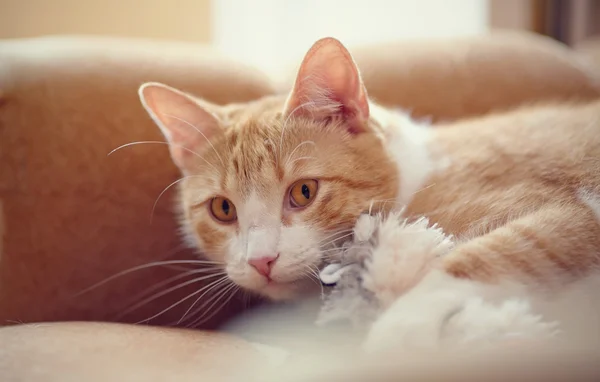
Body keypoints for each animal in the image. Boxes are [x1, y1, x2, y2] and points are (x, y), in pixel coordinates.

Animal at [138, 36, 600, 346]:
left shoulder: (570, 215)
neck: (416, 178)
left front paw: (401, 329)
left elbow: (485, 257)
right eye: (222, 209)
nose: (260, 261)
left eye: (303, 192)